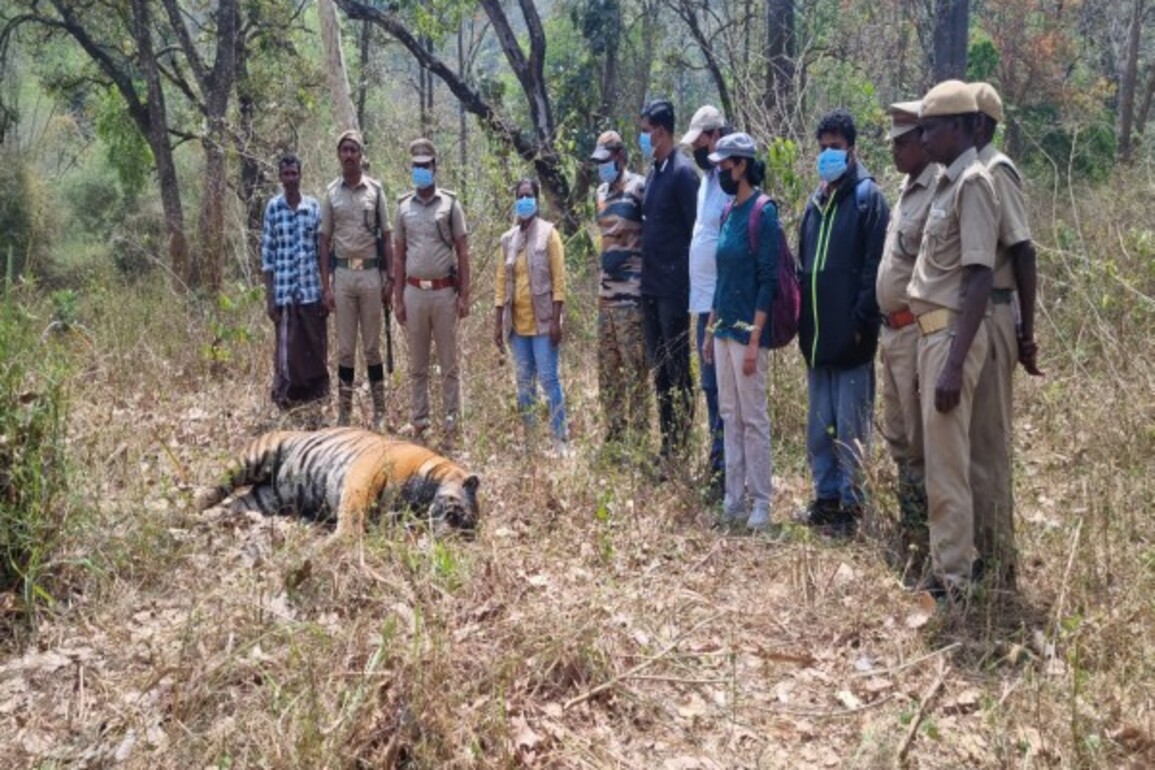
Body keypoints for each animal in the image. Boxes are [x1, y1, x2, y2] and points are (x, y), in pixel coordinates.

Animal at [194, 427, 480, 537]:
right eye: (455, 515)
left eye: (466, 530)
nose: (445, 540)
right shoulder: (364, 472)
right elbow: (352, 512)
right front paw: (339, 542)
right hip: (252, 459)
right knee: (214, 490)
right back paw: (185, 508)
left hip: (263, 500)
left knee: (229, 507)